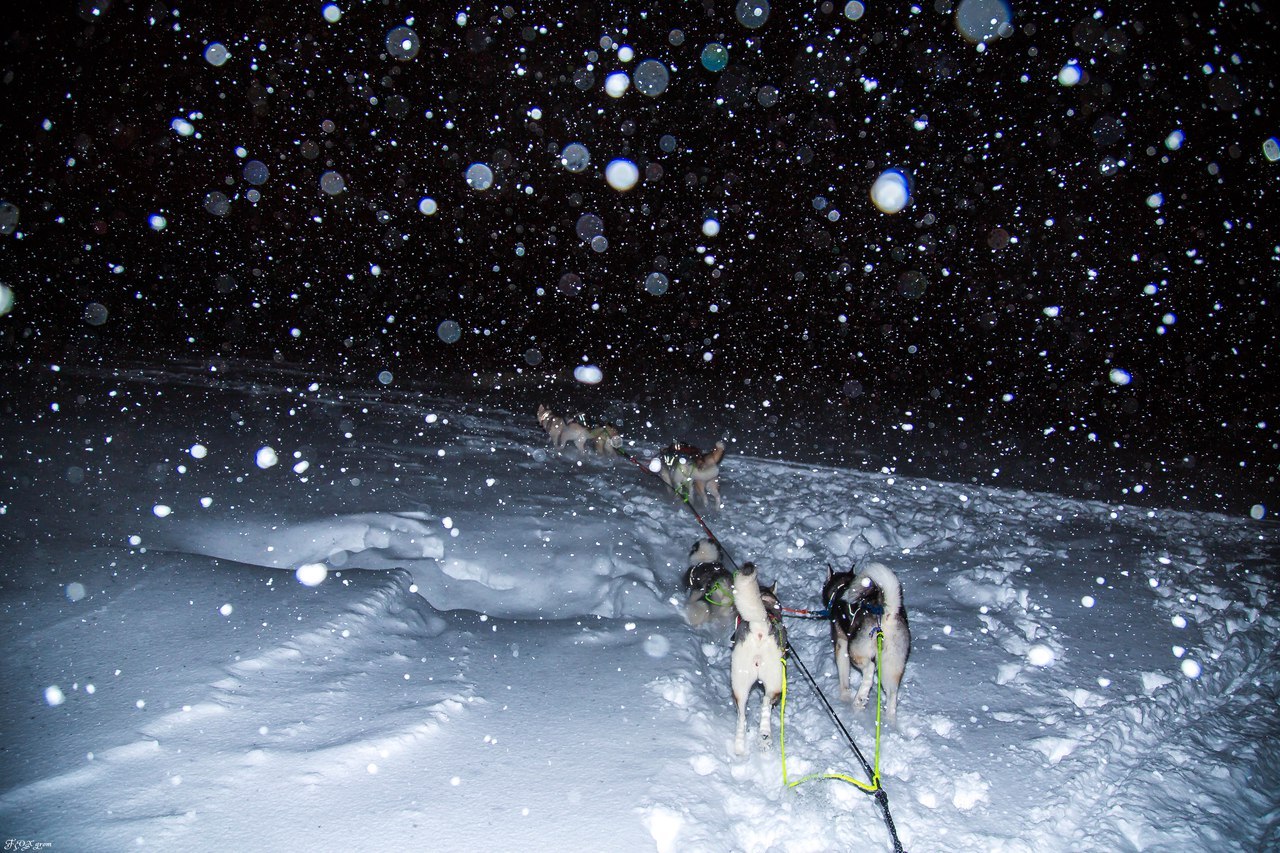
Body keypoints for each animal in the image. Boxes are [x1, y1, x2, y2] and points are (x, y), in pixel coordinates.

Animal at [732, 563, 788, 753]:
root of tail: (759, 627)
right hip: (776, 680)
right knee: (766, 701)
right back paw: (764, 734)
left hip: (740, 681)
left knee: (742, 715)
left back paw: (741, 746)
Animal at [819, 560, 911, 722]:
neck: (841, 586)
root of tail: (887, 615)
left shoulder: (841, 644)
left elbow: (844, 679)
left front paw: (844, 697)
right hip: (892, 666)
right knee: (892, 695)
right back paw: (889, 719)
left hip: (856, 651)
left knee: (869, 670)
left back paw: (859, 699)